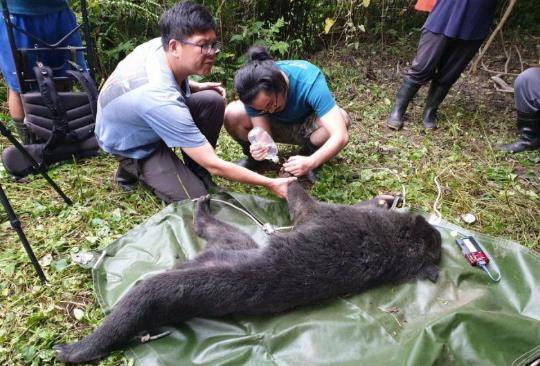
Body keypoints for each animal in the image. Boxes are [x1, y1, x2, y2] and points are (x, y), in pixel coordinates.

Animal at [54, 183, 442, 364]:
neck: (391, 247)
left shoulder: (323, 213)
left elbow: (302, 199)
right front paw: (384, 199)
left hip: (229, 245)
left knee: (204, 229)